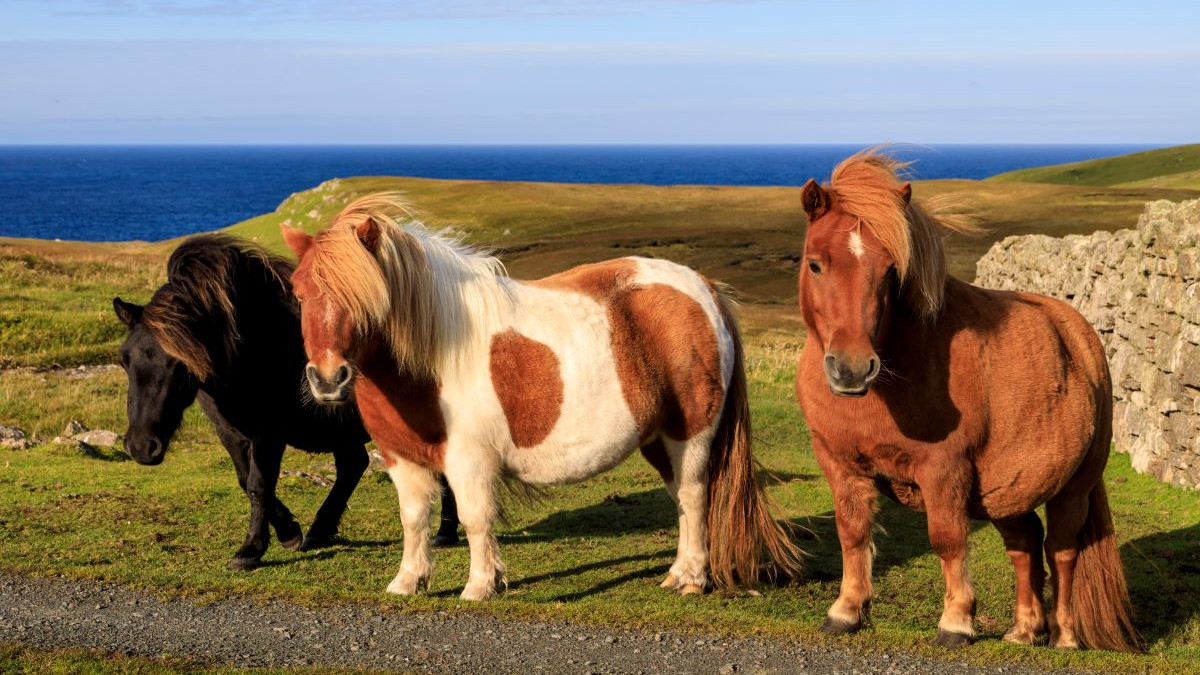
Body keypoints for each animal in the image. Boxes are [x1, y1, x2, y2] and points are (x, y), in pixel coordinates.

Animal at [113, 233, 460, 570]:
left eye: (178, 363)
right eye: (125, 360)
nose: (142, 447)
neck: (256, 344)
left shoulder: (269, 434)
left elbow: (259, 484)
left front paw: (251, 549)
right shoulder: (230, 432)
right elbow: (246, 480)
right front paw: (289, 531)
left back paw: (445, 531)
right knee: (353, 465)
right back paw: (321, 532)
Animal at [280, 193, 803, 601]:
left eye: (366, 297)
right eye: (300, 294)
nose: (328, 379)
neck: (429, 358)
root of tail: (703, 288)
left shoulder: (469, 459)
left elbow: (474, 519)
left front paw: (480, 586)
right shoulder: (400, 457)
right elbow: (414, 520)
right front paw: (408, 582)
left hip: (689, 433)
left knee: (694, 497)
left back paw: (693, 580)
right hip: (657, 438)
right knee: (679, 497)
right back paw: (677, 573)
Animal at [793, 150, 1139, 651]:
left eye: (891, 271)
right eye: (816, 264)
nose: (853, 368)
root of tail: (1081, 334)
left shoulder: (944, 469)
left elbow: (947, 539)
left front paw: (956, 621)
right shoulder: (840, 462)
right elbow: (852, 532)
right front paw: (846, 610)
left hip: (1073, 488)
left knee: (1062, 550)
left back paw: (1064, 636)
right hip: (1005, 489)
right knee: (1024, 543)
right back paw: (1023, 630)